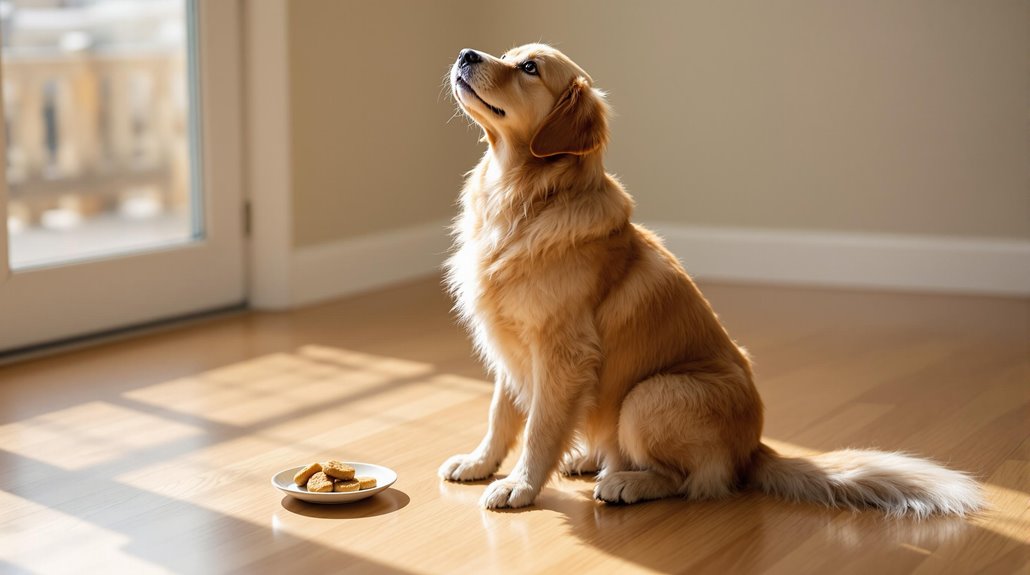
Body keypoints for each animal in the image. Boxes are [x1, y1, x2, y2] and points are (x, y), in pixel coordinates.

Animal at [438, 42, 984, 515]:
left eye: (529, 68)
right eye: (507, 54)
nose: (466, 53)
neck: (522, 200)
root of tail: (754, 449)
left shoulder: (560, 351)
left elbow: (540, 428)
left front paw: (520, 486)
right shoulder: (511, 348)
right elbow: (501, 414)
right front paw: (480, 462)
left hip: (648, 395)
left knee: (688, 479)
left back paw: (625, 481)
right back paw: (591, 458)